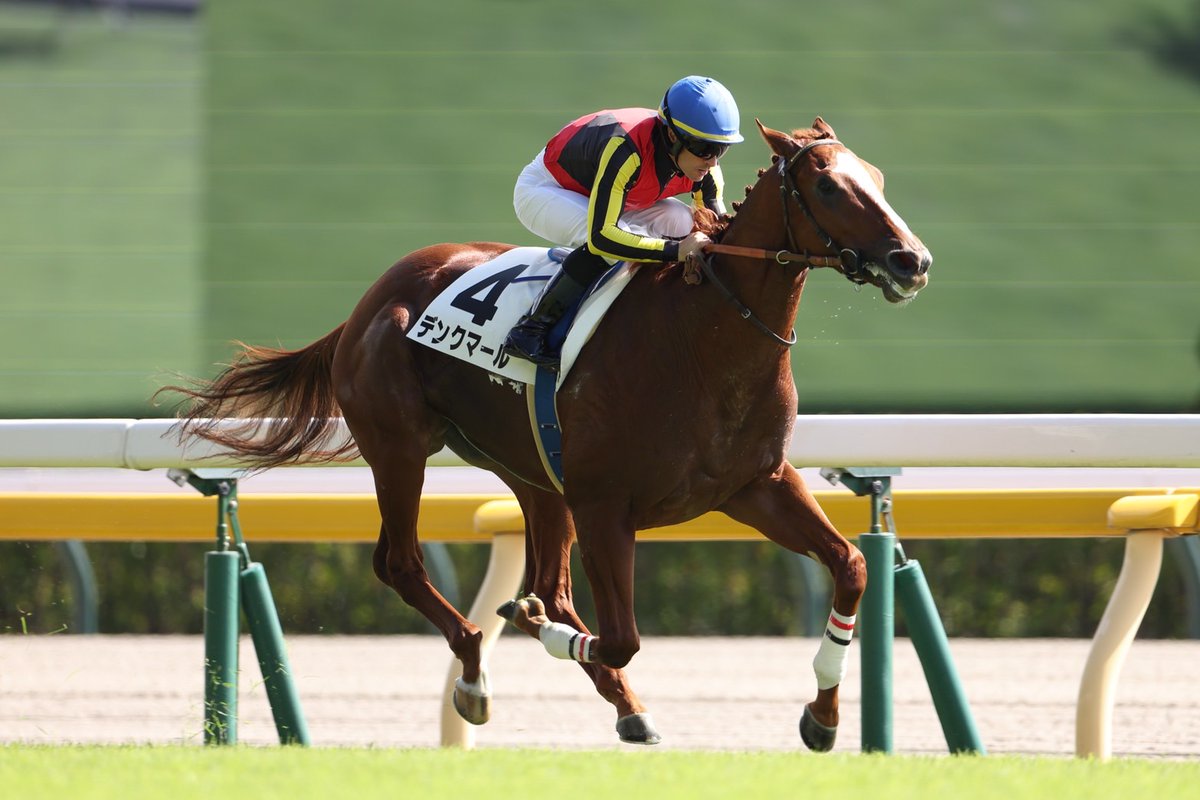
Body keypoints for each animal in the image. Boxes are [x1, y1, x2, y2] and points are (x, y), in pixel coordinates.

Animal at [165, 117, 931, 750]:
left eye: (878, 177)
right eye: (828, 184)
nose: (912, 261)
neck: (704, 339)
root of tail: (370, 299)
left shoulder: (756, 485)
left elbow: (852, 567)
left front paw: (822, 717)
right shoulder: (605, 505)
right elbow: (619, 638)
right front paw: (536, 629)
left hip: (530, 470)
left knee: (547, 582)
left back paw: (617, 700)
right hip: (401, 447)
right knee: (403, 564)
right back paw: (478, 671)